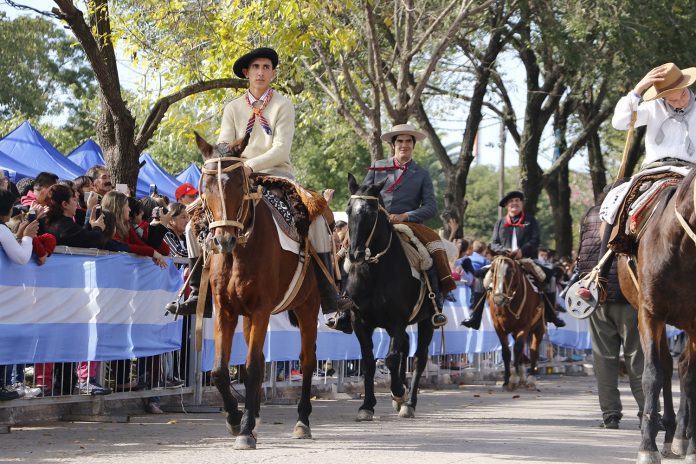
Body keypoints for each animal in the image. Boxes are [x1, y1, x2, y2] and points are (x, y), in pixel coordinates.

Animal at [193, 133, 320, 450]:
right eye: (205, 186)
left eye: (239, 184)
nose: (222, 240)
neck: (241, 250)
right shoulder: (225, 309)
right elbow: (220, 370)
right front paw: (235, 418)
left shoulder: (261, 309)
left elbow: (250, 370)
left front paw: (246, 431)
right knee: (262, 360)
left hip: (307, 307)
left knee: (307, 360)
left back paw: (302, 421)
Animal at [344, 174, 436, 420]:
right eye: (348, 210)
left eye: (371, 212)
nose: (354, 254)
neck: (375, 271)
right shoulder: (360, 322)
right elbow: (368, 362)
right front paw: (367, 405)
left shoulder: (398, 319)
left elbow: (392, 358)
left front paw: (398, 392)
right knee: (405, 346)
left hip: (427, 321)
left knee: (419, 358)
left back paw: (408, 402)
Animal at [486, 256, 548, 390]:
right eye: (492, 270)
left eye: (510, 271)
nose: (498, 299)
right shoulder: (499, 328)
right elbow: (506, 352)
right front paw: (506, 380)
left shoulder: (524, 326)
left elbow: (518, 348)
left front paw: (514, 378)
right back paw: (522, 377)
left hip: (539, 328)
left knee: (533, 350)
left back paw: (530, 379)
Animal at [616, 169, 696, 462]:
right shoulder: (650, 314)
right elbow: (652, 373)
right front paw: (647, 446)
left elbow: (691, 376)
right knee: (667, 365)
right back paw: (671, 432)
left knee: (682, 367)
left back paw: (682, 435)